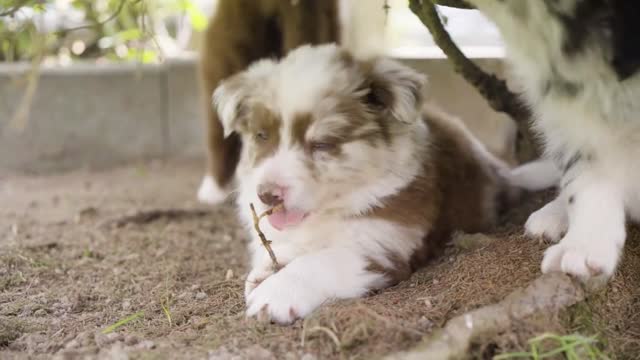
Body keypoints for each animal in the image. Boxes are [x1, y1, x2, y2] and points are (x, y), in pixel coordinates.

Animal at [214, 43, 556, 324]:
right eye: (262, 136)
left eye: (322, 144)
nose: (267, 195)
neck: (329, 211)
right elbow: (282, 249)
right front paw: (266, 272)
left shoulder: (380, 247)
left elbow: (321, 261)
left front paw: (276, 294)